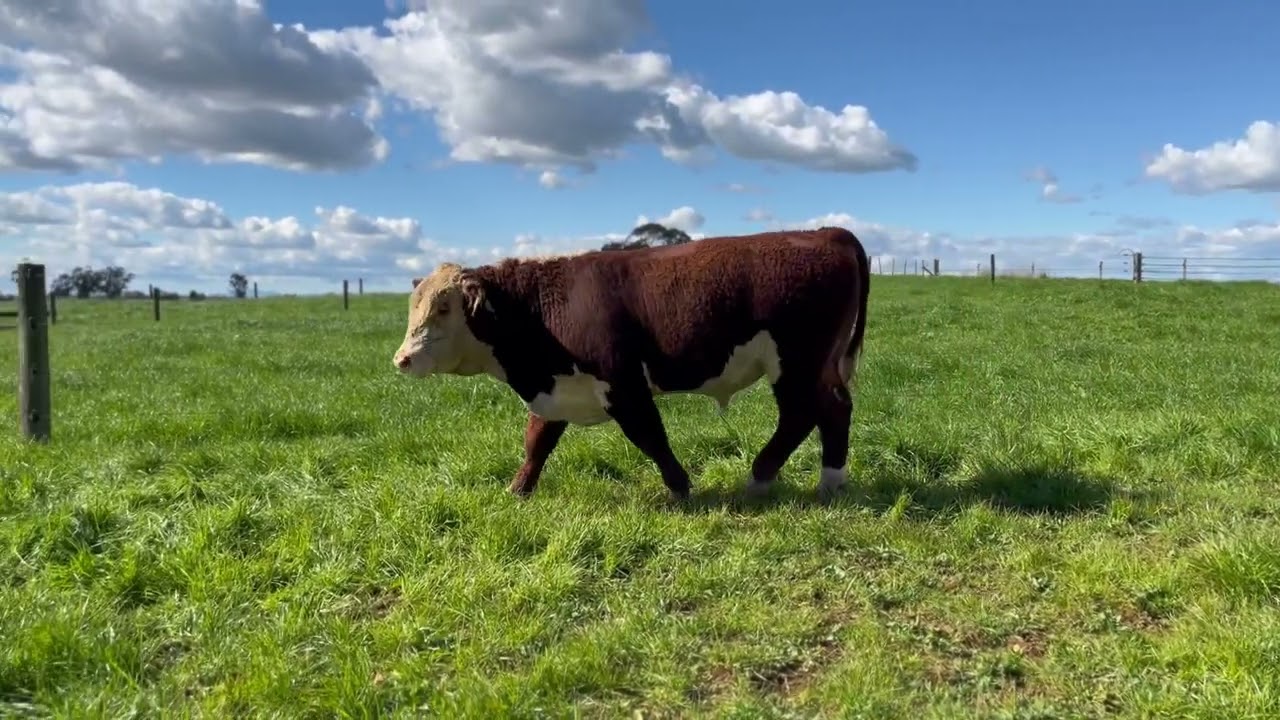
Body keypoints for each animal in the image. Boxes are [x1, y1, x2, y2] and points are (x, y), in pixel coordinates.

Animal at [391, 226, 871, 501]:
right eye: (414, 307)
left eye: (444, 308)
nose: (402, 359)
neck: (541, 310)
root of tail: (826, 232)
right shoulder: (556, 389)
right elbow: (537, 442)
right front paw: (518, 490)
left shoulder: (622, 384)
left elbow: (650, 436)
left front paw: (680, 487)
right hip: (818, 365)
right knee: (834, 408)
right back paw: (829, 480)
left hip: (796, 362)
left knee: (803, 413)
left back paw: (764, 477)